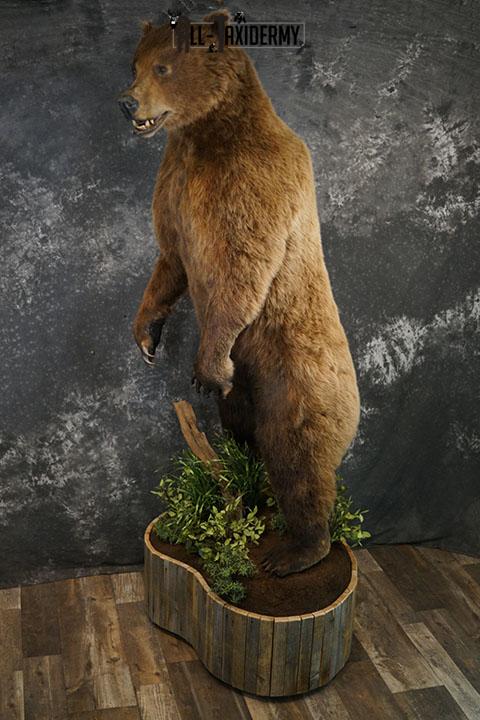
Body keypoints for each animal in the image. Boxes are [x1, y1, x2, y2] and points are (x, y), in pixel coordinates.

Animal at [119, 11, 360, 576]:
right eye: (134, 64)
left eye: (162, 67)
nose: (127, 102)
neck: (204, 133)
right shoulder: (174, 180)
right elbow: (171, 257)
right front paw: (146, 335)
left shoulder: (248, 179)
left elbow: (242, 266)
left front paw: (206, 364)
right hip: (245, 398)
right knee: (242, 432)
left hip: (297, 375)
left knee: (298, 456)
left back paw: (294, 550)